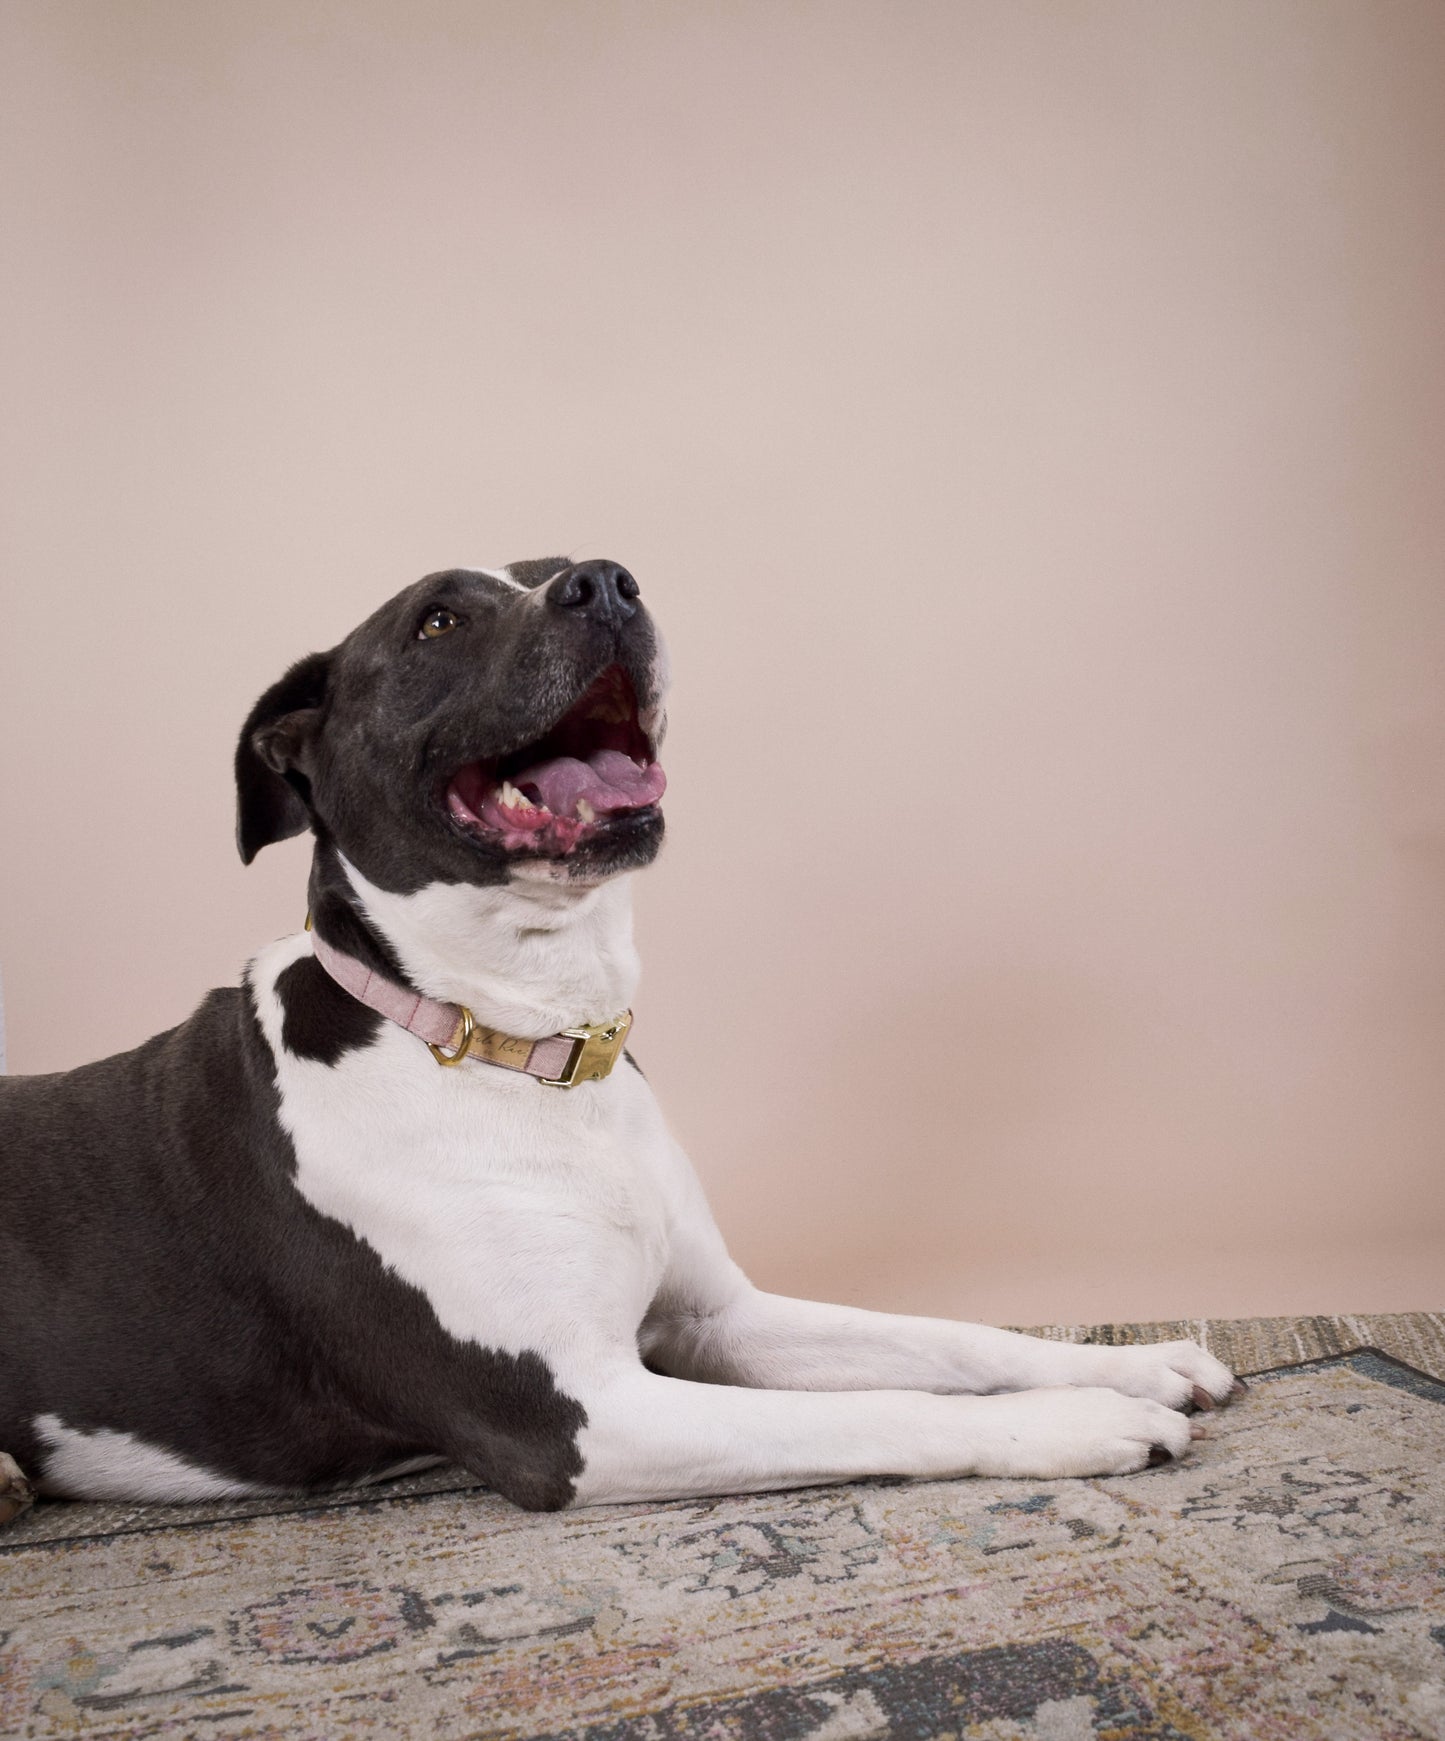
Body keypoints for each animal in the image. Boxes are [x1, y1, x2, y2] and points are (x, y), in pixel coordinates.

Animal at [0, 557, 1246, 1525]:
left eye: (555, 562)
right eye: (437, 621)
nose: (603, 581)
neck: (521, 1046)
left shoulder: (716, 1315)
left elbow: (948, 1339)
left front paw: (1130, 1359)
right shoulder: (579, 1421)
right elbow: (884, 1407)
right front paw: (1079, 1417)